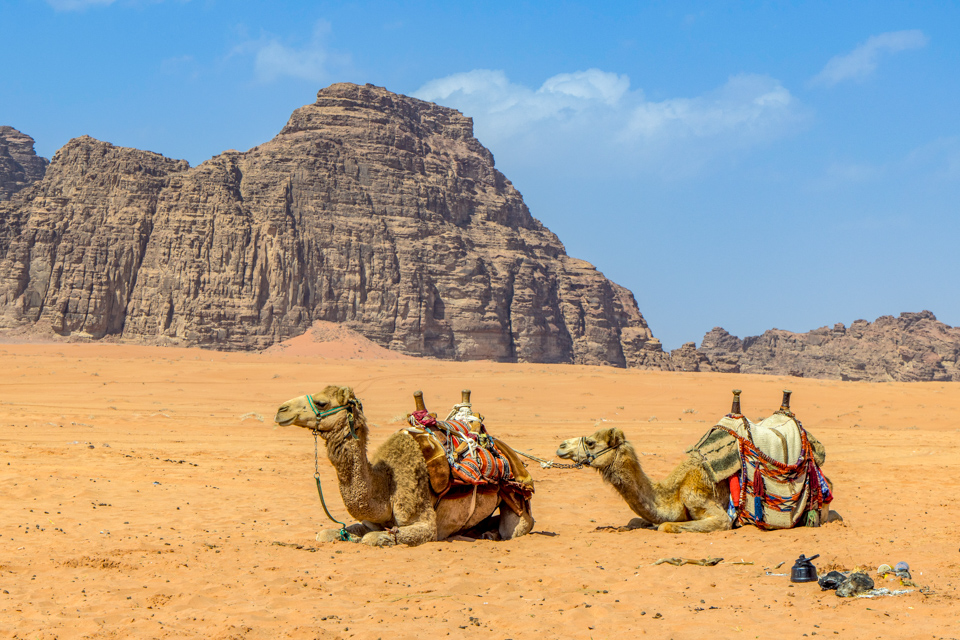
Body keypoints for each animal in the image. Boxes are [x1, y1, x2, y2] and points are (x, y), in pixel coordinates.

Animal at [274, 385, 534, 546]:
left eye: (321, 402)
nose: (280, 410)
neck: (385, 488)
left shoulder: (425, 524)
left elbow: (374, 539)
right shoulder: (369, 521)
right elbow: (326, 533)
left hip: (515, 497)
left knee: (517, 527)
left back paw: (492, 534)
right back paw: (483, 532)